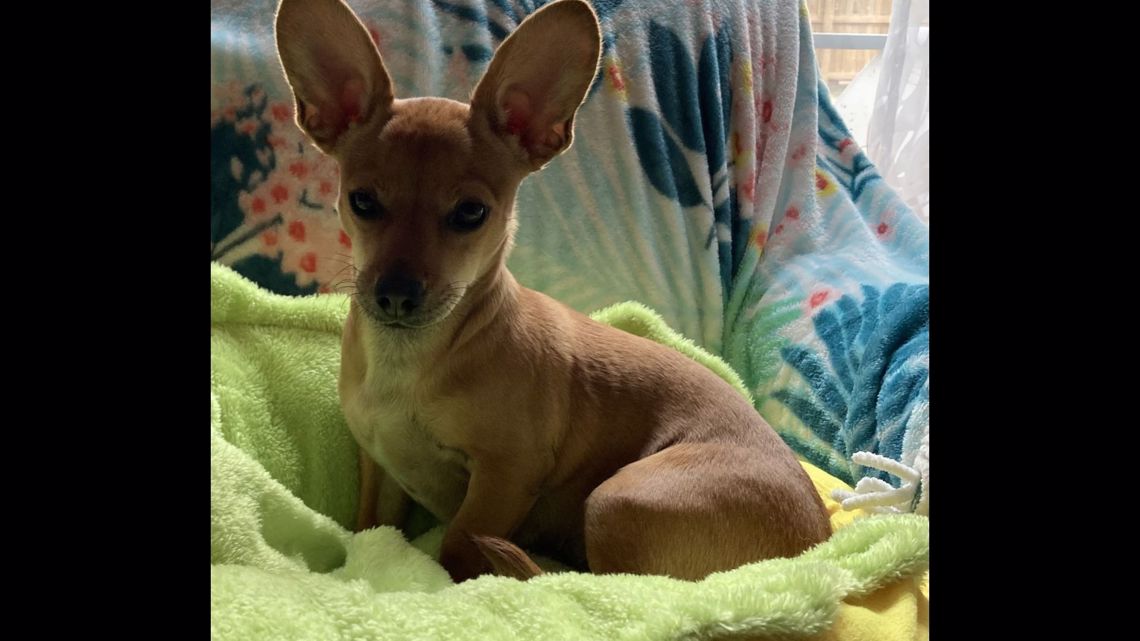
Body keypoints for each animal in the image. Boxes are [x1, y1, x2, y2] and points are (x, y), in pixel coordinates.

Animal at [274, 0, 829, 581]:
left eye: (471, 213)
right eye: (361, 201)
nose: (396, 294)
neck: (412, 358)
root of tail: (815, 550)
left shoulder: (505, 475)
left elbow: (455, 544)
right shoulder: (380, 465)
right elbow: (371, 532)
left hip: (618, 501)